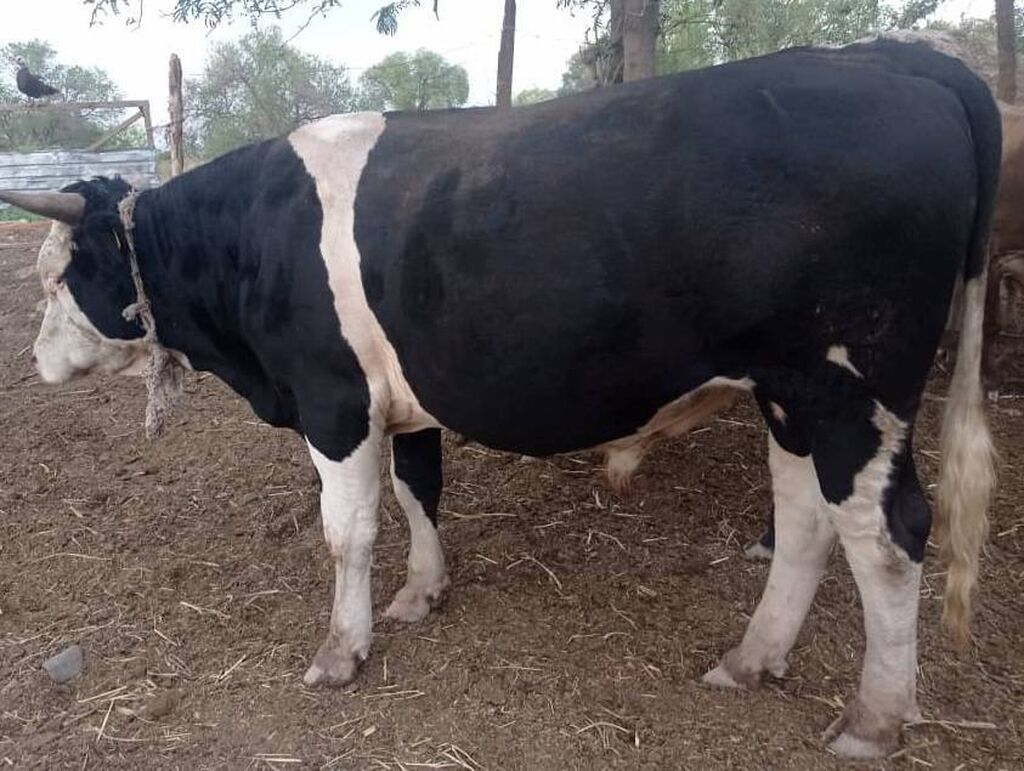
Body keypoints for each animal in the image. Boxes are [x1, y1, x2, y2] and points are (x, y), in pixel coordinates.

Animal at [1, 38, 999, 759]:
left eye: (54, 277)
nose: (37, 363)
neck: (251, 239)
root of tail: (896, 58)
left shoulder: (332, 401)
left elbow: (347, 531)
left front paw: (341, 649)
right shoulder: (397, 400)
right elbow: (418, 491)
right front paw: (421, 593)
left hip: (853, 390)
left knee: (889, 535)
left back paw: (873, 718)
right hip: (790, 396)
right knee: (804, 522)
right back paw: (751, 657)